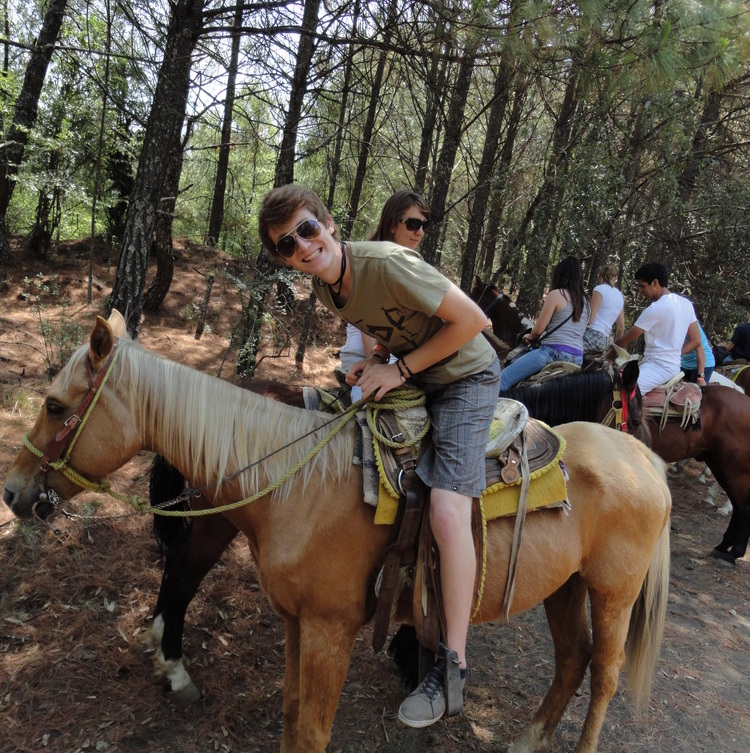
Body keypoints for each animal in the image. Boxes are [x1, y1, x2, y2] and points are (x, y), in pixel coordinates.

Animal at [4, 308, 676, 748]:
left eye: (57, 407)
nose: (12, 492)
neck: (299, 482)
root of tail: (644, 461)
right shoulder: (298, 623)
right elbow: (291, 715)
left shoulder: (331, 630)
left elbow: (312, 729)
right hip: (566, 587)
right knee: (572, 660)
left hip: (612, 593)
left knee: (604, 676)